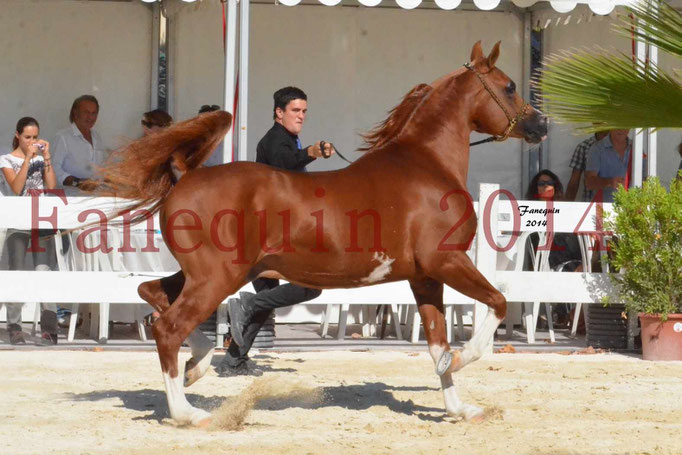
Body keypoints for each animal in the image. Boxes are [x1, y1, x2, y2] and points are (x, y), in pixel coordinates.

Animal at [101, 41, 544, 428]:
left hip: (214, 274)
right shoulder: (447, 261)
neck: (427, 165)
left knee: (153, 295)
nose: (540, 123)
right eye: (509, 85)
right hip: (217, 277)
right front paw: (462, 360)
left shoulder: (425, 277)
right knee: (168, 327)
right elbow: (497, 304)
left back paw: (198, 366)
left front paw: (461, 409)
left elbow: (438, 344)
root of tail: (185, 174)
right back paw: (189, 413)